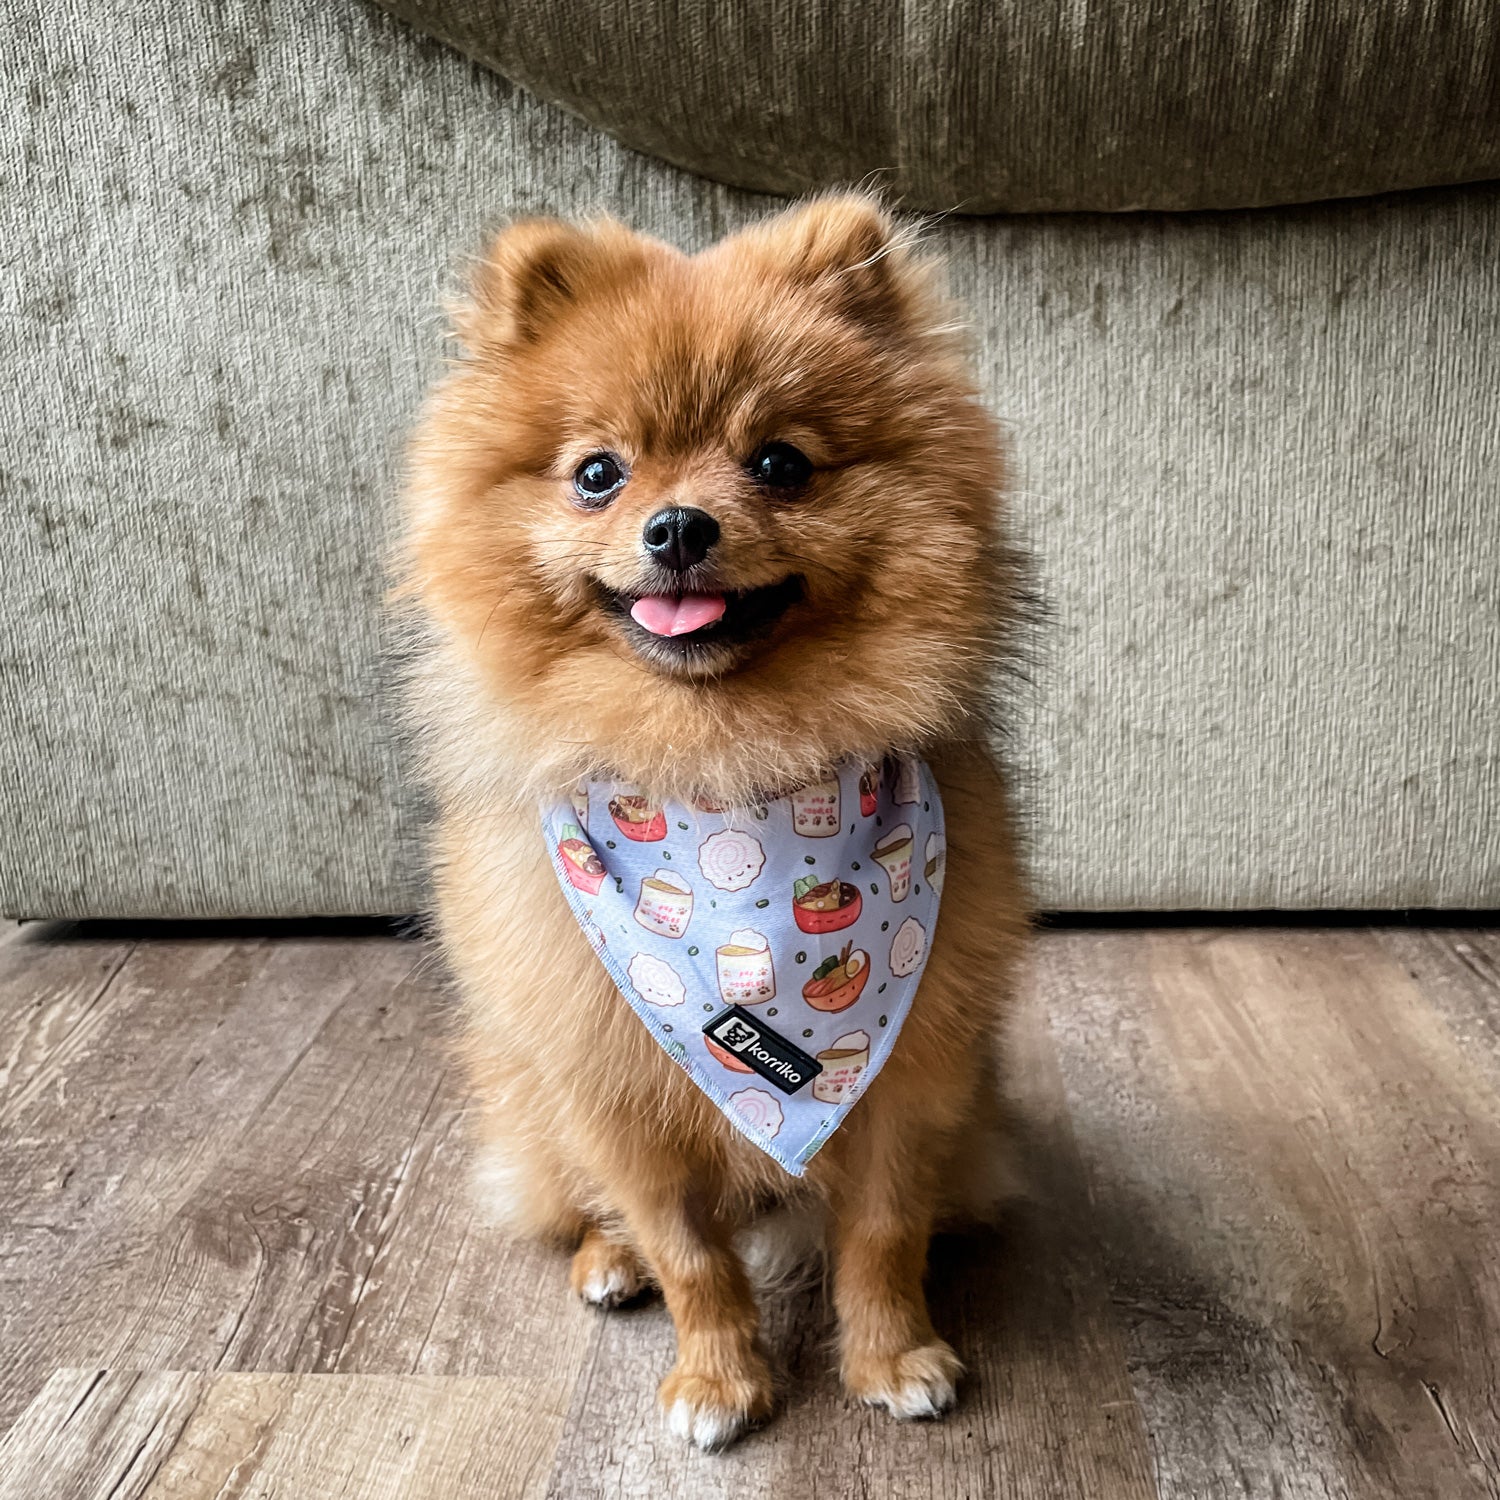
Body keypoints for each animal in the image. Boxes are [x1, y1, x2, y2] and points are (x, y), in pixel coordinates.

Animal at [399, 193, 1032, 1446]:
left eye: (780, 463)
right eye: (597, 473)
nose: (679, 527)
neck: (725, 779)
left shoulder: (912, 1079)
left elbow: (883, 1231)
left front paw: (894, 1356)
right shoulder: (613, 1083)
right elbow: (687, 1250)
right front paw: (719, 1379)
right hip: (535, 1103)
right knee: (581, 1205)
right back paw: (607, 1260)